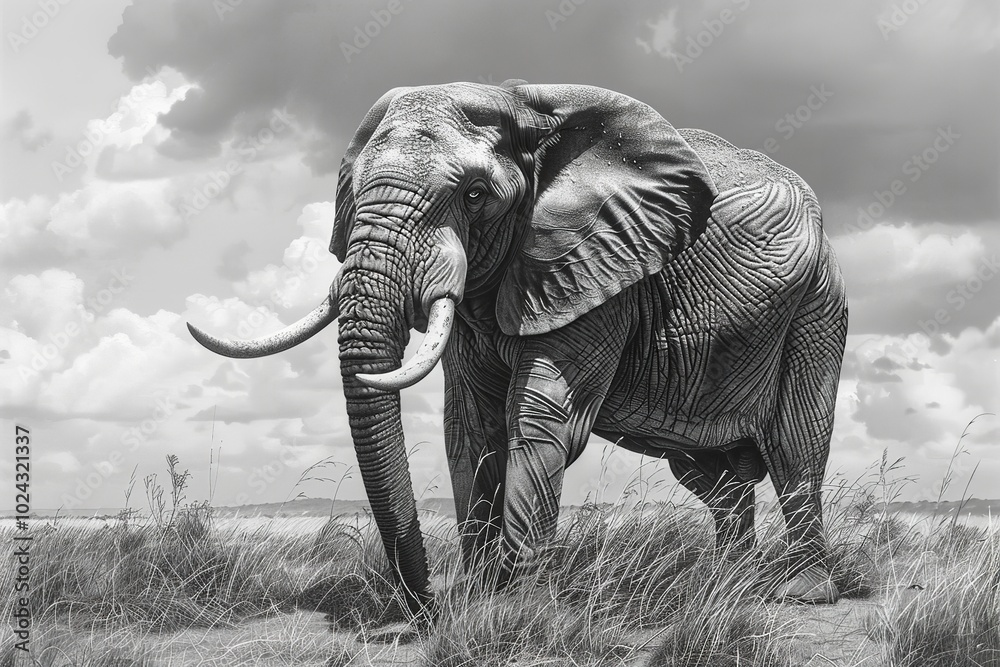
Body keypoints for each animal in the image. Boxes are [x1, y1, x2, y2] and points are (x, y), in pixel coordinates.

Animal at [188, 81, 848, 615]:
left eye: (475, 195)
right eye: (349, 193)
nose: (428, 603)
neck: (520, 102)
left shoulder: (597, 264)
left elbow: (539, 422)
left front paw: (518, 606)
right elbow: (471, 426)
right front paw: (481, 597)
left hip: (817, 307)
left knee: (794, 447)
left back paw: (800, 593)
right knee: (714, 477)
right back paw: (728, 587)